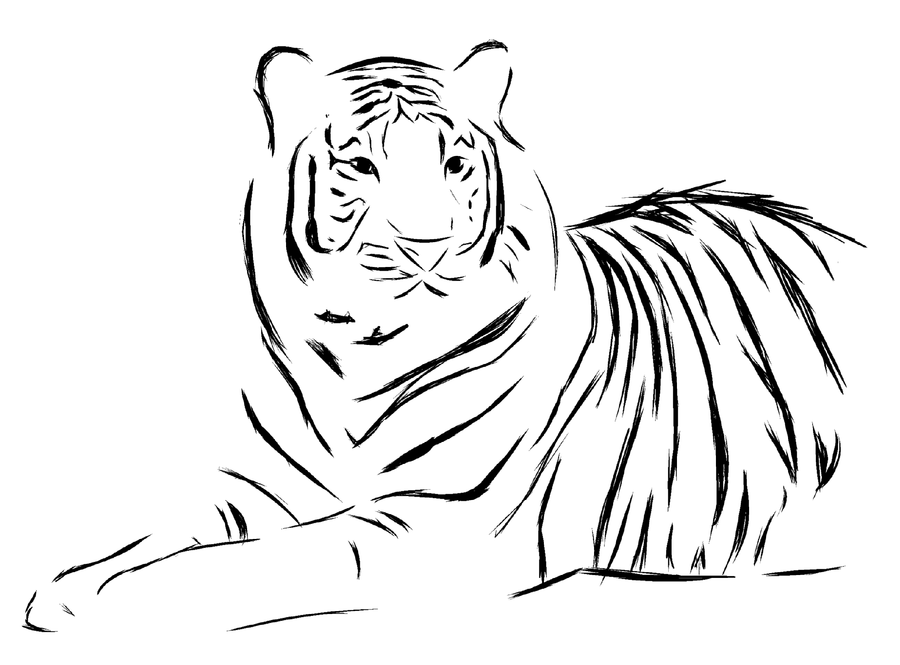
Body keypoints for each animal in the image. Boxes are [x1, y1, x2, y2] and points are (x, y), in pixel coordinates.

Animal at [25, 41, 859, 633]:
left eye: (455, 162)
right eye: (360, 164)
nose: (425, 243)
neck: (350, 361)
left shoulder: (436, 513)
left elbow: (255, 559)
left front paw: (118, 601)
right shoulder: (259, 487)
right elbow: (170, 532)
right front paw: (70, 584)